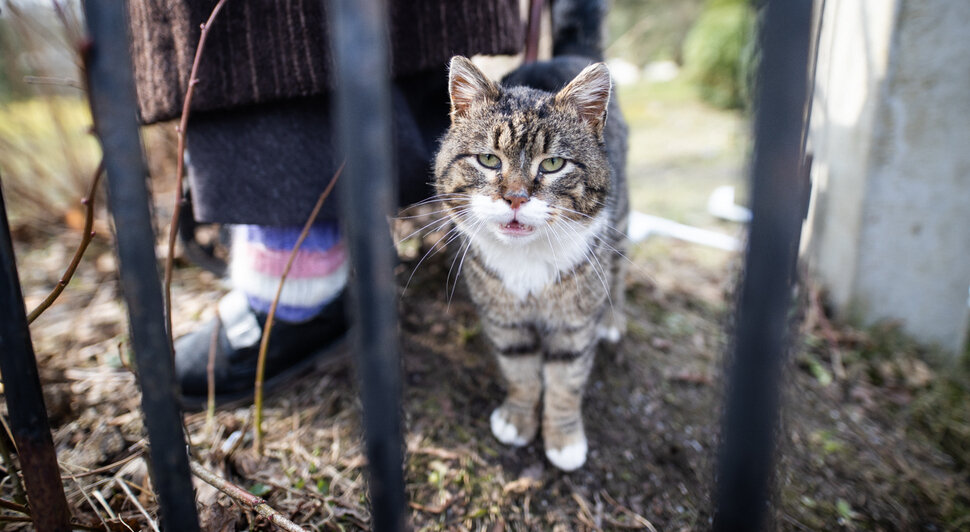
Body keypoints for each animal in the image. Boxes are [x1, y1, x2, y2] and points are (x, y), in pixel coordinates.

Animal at [432, 4, 628, 472]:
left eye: (553, 164)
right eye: (488, 159)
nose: (516, 197)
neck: (527, 261)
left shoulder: (574, 326)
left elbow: (565, 381)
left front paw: (563, 437)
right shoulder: (504, 322)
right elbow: (520, 372)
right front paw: (519, 419)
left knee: (619, 266)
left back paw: (612, 320)